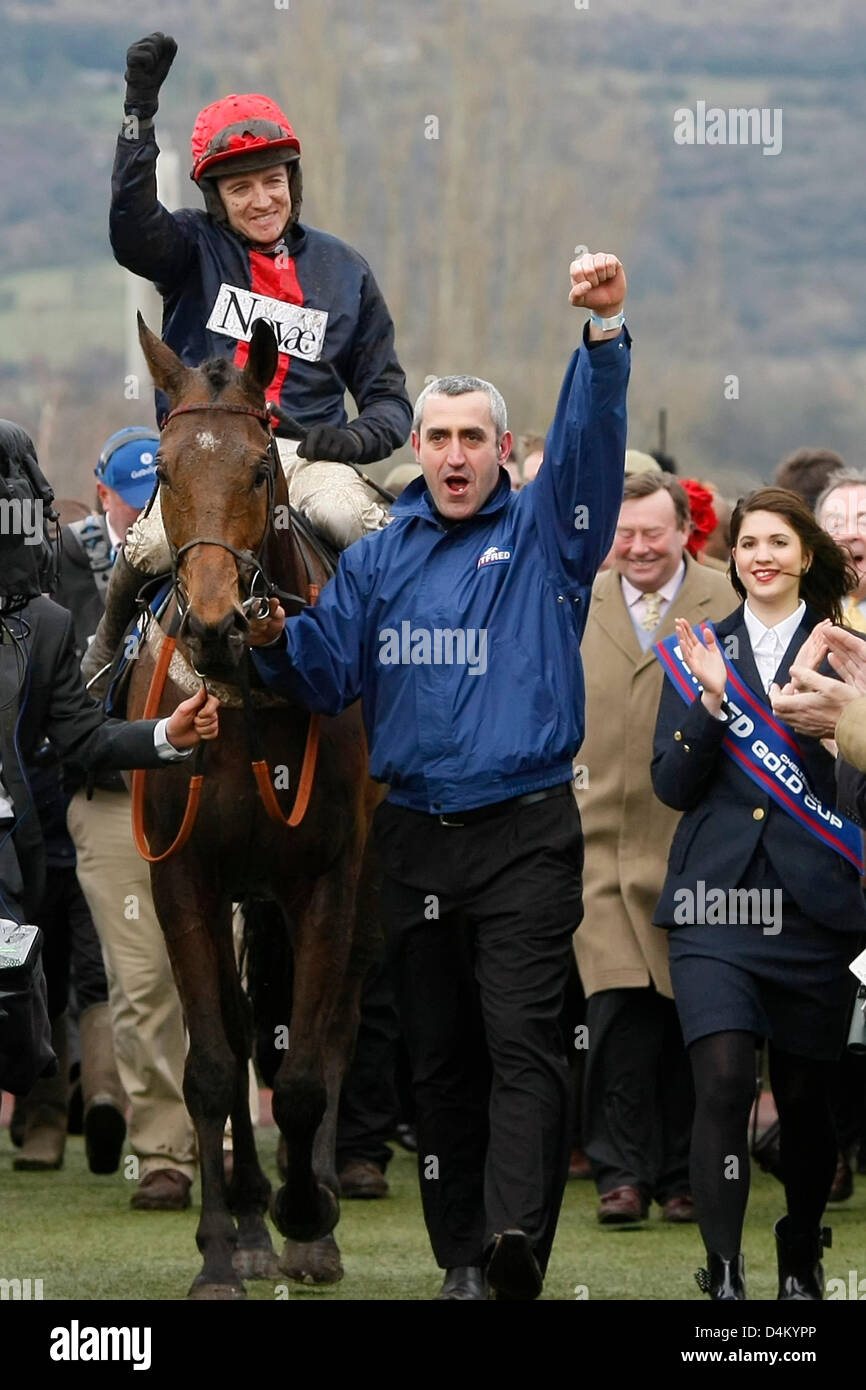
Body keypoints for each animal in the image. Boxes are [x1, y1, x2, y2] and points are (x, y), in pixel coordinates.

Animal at [124, 312, 378, 1289]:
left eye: (261, 468)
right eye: (163, 470)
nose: (211, 624)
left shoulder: (331, 879)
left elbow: (306, 1065)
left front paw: (307, 1216)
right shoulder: (182, 880)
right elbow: (212, 1062)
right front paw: (221, 1251)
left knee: (333, 1029)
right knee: (236, 1036)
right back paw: (245, 1222)